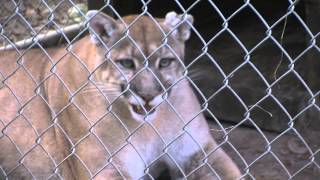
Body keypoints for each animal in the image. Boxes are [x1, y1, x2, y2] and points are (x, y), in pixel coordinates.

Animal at [0, 10, 240, 179]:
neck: (149, 128)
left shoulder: (199, 152)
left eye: (164, 62)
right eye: (126, 63)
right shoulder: (107, 168)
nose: (147, 95)